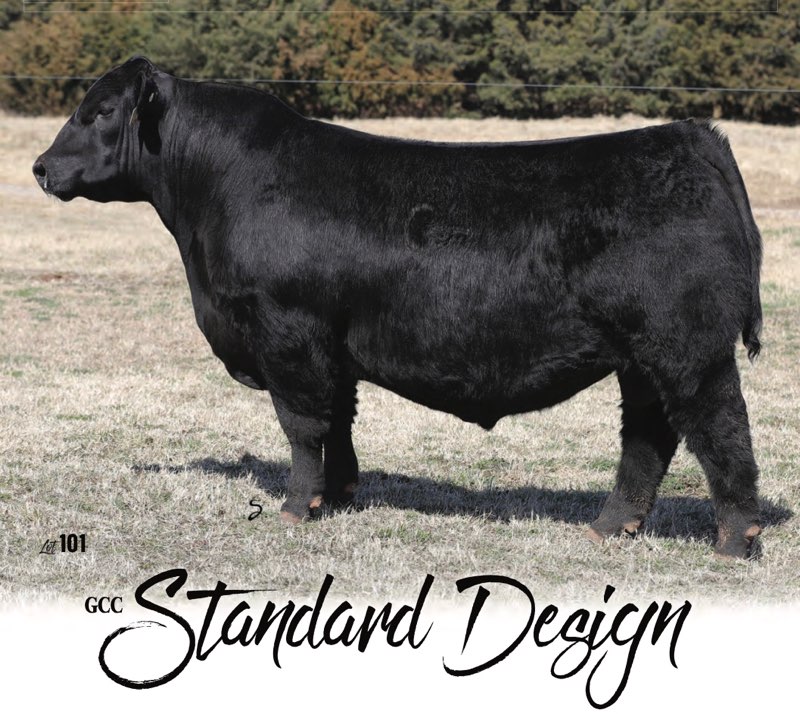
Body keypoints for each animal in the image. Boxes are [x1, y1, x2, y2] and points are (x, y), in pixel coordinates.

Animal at [33, 56, 764, 558]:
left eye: (101, 111)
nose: (41, 167)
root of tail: (690, 135)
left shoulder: (288, 332)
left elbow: (302, 424)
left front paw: (296, 507)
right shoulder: (333, 344)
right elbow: (340, 421)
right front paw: (340, 494)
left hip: (687, 348)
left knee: (719, 429)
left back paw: (735, 539)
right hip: (641, 358)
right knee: (648, 437)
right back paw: (611, 527)